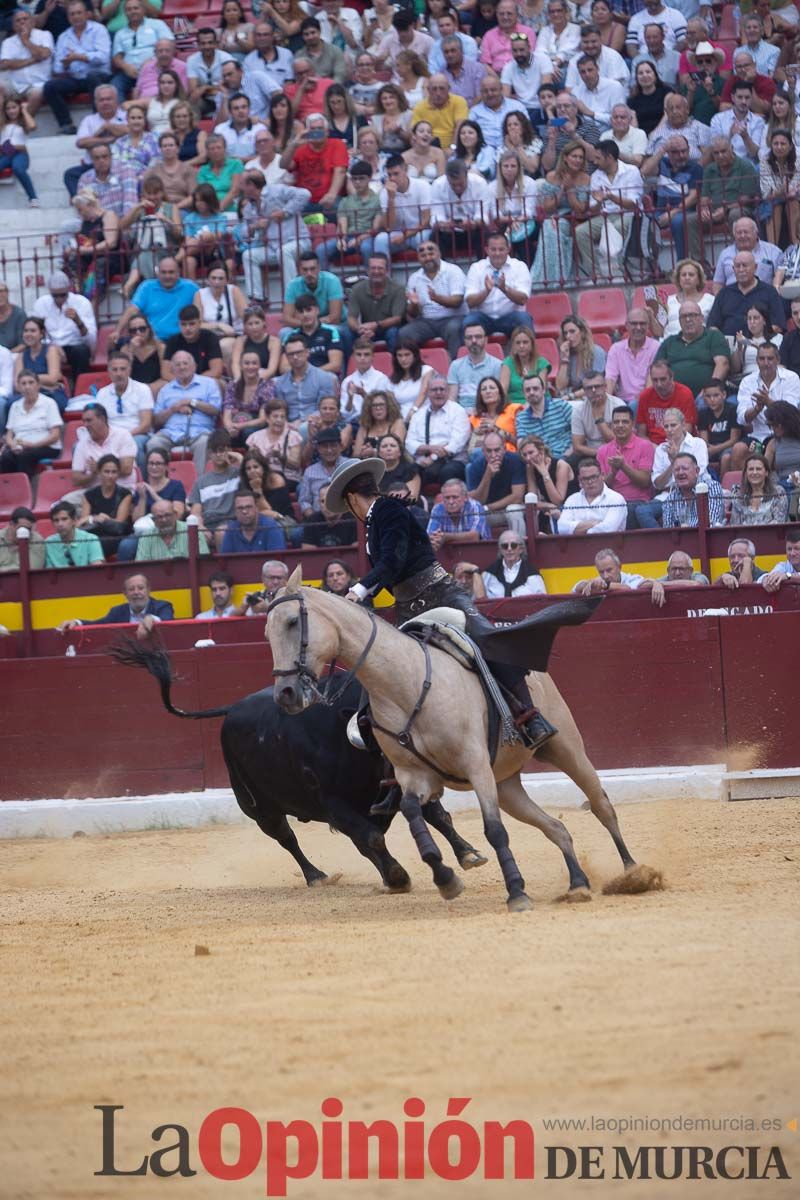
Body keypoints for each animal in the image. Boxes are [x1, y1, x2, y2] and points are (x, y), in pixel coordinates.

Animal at [110, 638, 489, 892]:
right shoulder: (334, 804)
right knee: (287, 838)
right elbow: (370, 837)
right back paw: (316, 876)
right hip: (259, 808)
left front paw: (469, 855)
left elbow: (438, 817)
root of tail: (232, 708)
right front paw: (397, 877)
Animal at [268, 568, 662, 907]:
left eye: (292, 622)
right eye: (267, 634)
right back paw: (578, 884)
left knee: (601, 805)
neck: (405, 684)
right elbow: (412, 812)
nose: (286, 693)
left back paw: (633, 873)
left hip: (566, 749)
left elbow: (494, 830)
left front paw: (516, 892)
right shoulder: (415, 776)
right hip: (507, 784)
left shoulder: (475, 766)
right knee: (556, 828)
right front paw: (446, 878)